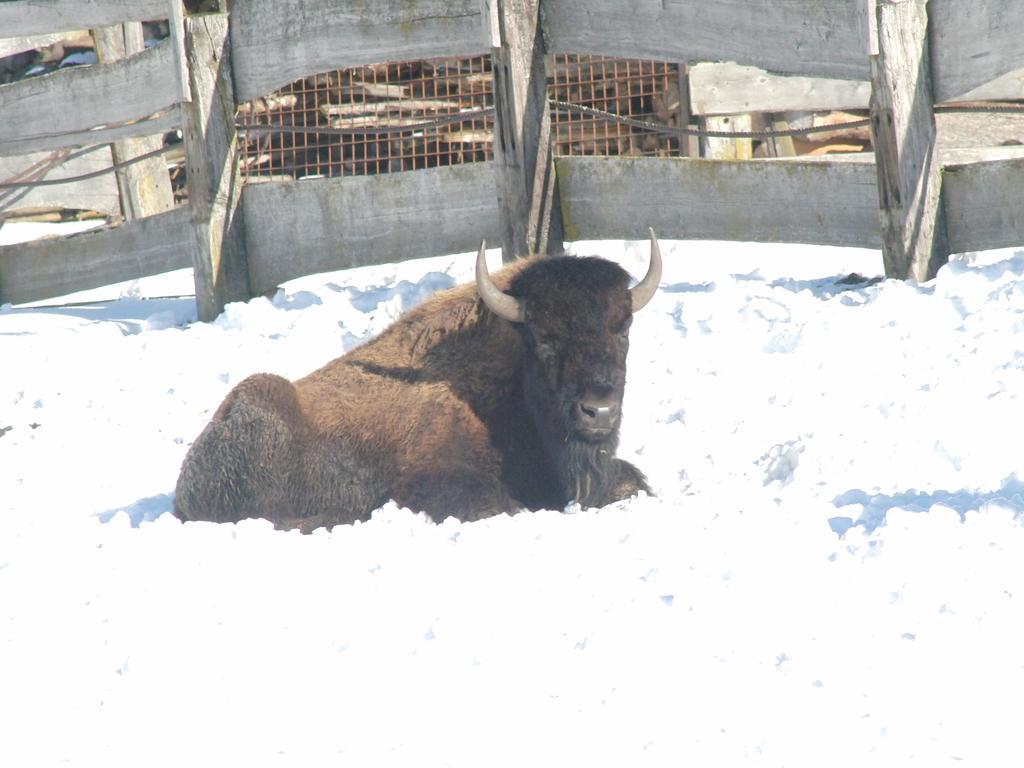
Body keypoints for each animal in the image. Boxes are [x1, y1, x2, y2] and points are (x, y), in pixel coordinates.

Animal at [171, 234, 659, 536]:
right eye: (543, 336)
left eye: (623, 328)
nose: (598, 410)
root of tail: (185, 485)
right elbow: (501, 503)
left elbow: (632, 480)